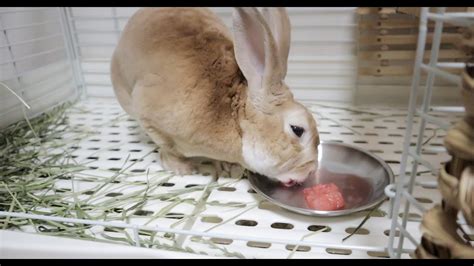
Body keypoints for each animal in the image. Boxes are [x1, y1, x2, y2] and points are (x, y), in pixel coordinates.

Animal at [109, 7, 320, 186]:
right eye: (297, 129)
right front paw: (183, 169)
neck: (236, 120)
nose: (311, 171)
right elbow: (168, 149)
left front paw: (231, 168)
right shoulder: (150, 119)